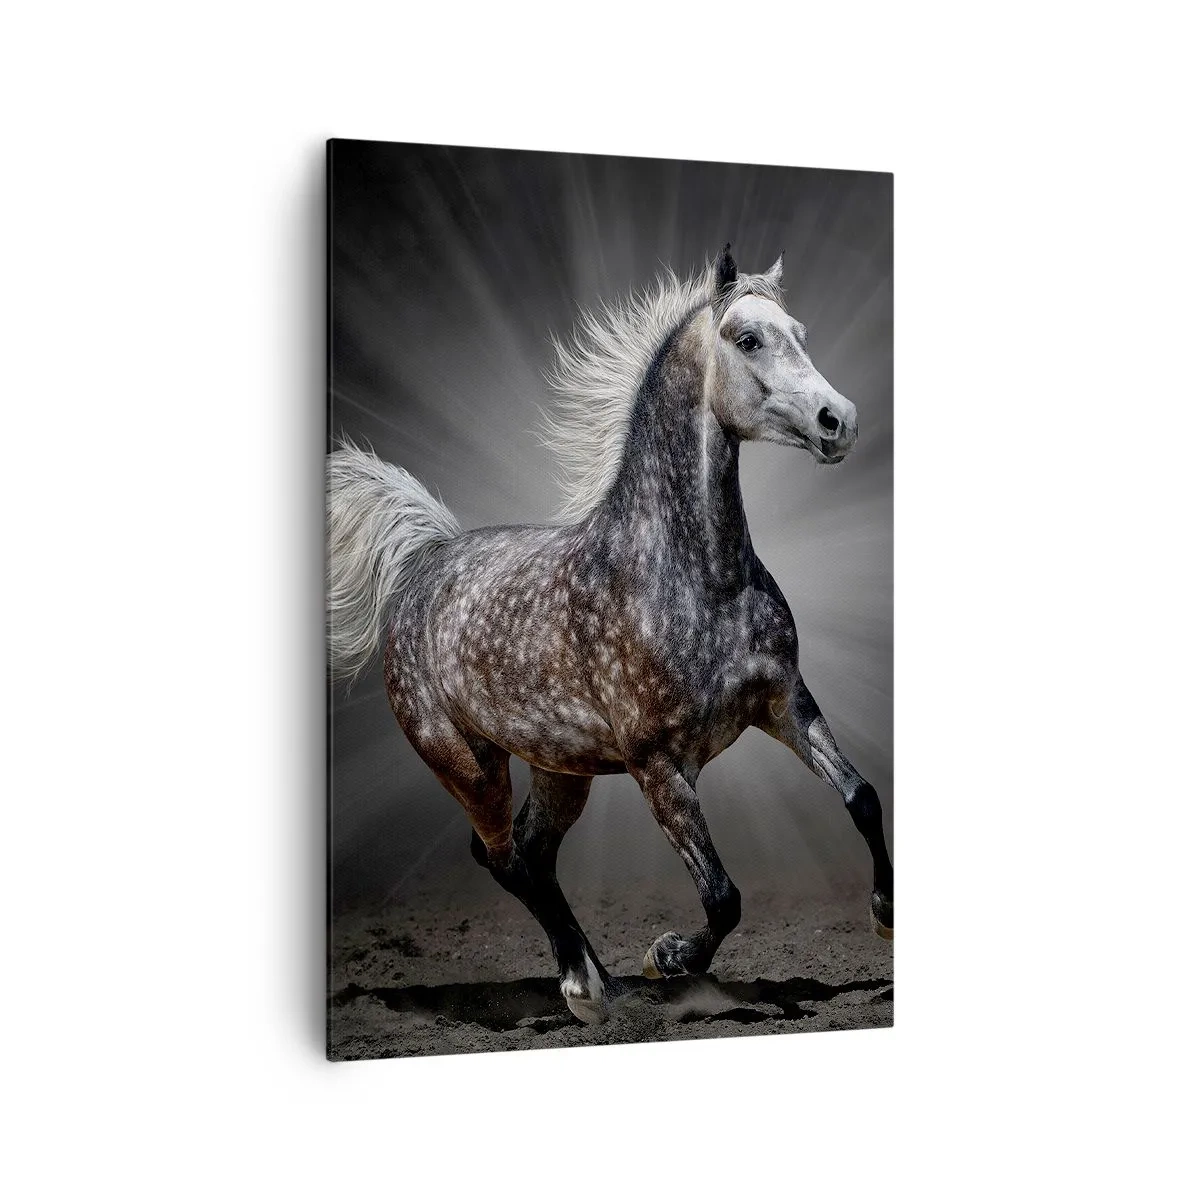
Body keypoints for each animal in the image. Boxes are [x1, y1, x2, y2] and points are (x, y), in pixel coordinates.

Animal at [327, 245, 893, 1024]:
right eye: (748, 338)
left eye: (800, 333)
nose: (840, 420)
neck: (693, 576)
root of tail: (424, 562)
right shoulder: (658, 765)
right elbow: (723, 896)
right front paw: (668, 957)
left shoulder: (786, 704)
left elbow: (862, 797)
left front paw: (883, 917)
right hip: (467, 764)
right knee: (502, 857)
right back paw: (584, 987)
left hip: (560, 770)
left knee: (527, 856)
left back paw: (598, 977)